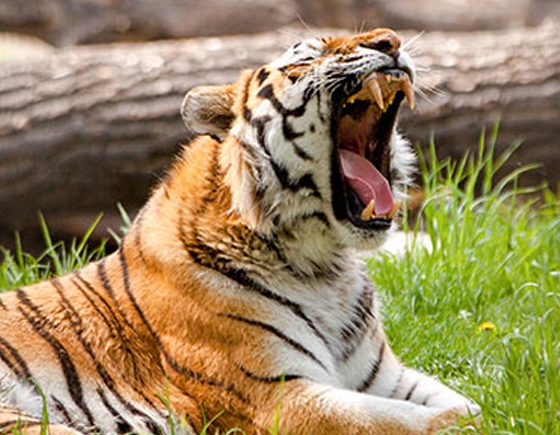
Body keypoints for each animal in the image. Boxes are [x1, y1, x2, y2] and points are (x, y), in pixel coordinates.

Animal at [1, 29, 482, 434]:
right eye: (307, 58)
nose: (390, 41)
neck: (325, 266)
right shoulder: (280, 395)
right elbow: (424, 420)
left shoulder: (386, 377)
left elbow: (467, 401)